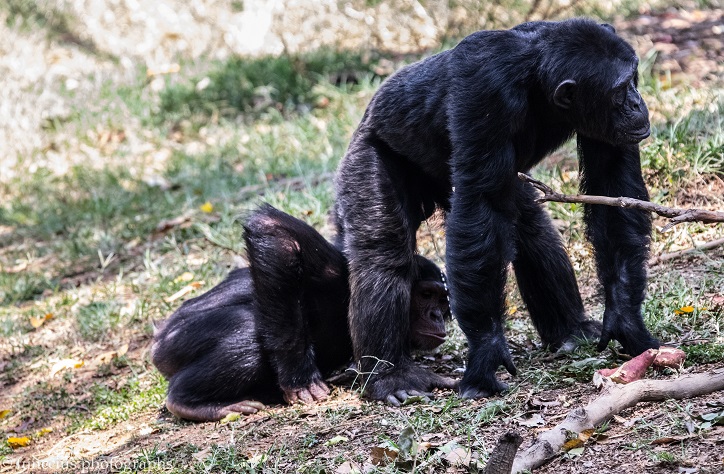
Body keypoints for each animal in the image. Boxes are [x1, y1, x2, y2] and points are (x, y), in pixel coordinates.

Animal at [150, 206, 450, 420]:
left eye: (442, 300)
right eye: (426, 295)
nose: (436, 315)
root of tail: (157, 337)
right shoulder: (339, 272)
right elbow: (277, 234)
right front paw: (300, 380)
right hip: (174, 343)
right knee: (246, 333)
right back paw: (187, 402)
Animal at [336, 19, 660, 404]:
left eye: (633, 80)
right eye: (621, 90)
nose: (637, 102)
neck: (538, 83)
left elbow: (611, 186)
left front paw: (625, 318)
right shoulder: (485, 88)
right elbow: (483, 203)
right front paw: (487, 351)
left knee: (529, 228)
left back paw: (571, 331)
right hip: (368, 154)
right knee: (383, 251)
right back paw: (391, 376)